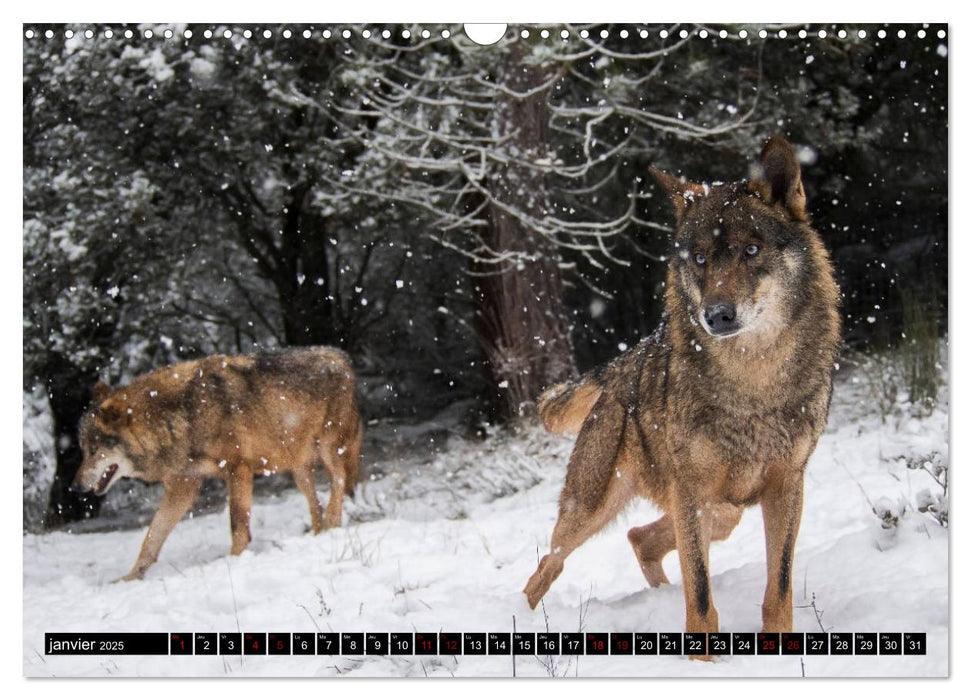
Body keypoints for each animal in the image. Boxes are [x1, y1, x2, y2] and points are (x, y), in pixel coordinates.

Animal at [72, 344, 360, 580]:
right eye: (83, 450)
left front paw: (234, 561)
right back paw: (320, 534)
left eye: (95, 450)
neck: (183, 416)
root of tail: (341, 356)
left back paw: (334, 522)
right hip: (298, 470)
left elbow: (237, 523)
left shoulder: (238, 468)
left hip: (329, 449)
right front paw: (130, 578)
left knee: (339, 481)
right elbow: (151, 537)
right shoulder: (182, 487)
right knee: (316, 504)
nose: (75, 487)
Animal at [524, 138, 844, 656]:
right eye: (698, 259)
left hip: (722, 511)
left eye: (751, 250)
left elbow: (778, 589)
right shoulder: (692, 490)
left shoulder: (787, 485)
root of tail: (621, 365)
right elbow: (701, 596)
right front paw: (701, 663)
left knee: (639, 537)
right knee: (546, 567)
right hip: (597, 510)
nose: (717, 315)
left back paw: (658, 595)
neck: (752, 381)